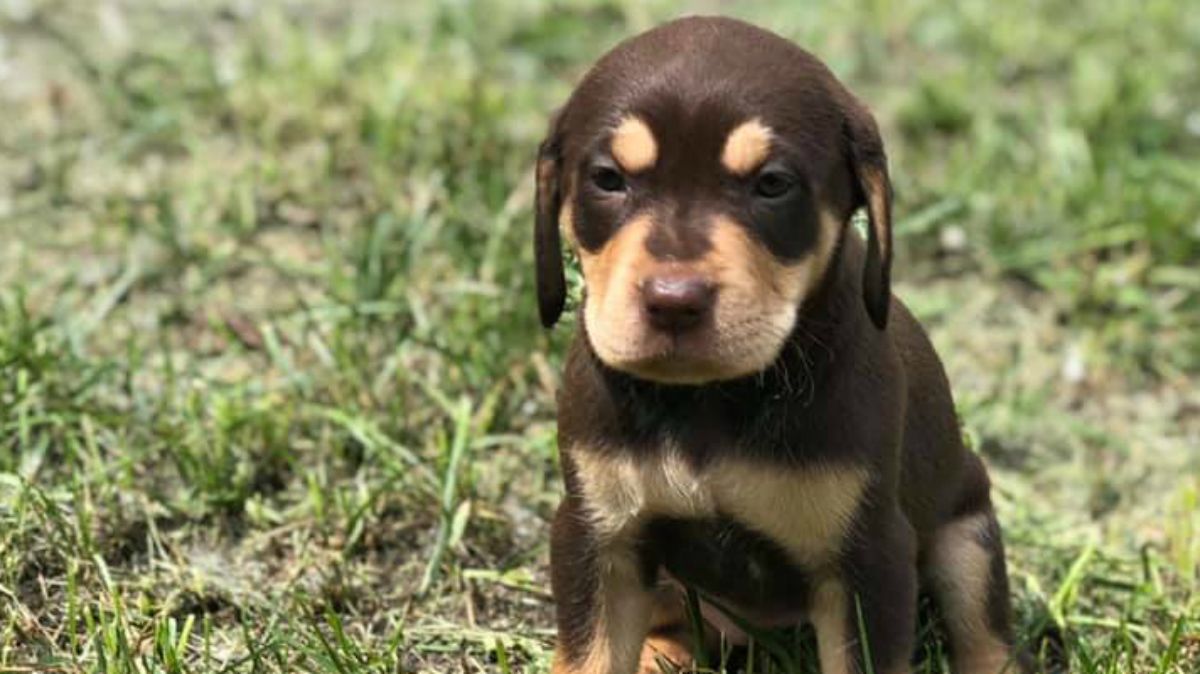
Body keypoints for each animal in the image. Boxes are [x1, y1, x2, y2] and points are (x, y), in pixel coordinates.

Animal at [537, 14, 1032, 671]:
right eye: (607, 180)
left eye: (772, 185)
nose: (674, 300)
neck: (707, 402)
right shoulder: (599, 536)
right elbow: (591, 654)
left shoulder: (869, 561)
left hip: (966, 532)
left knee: (983, 631)